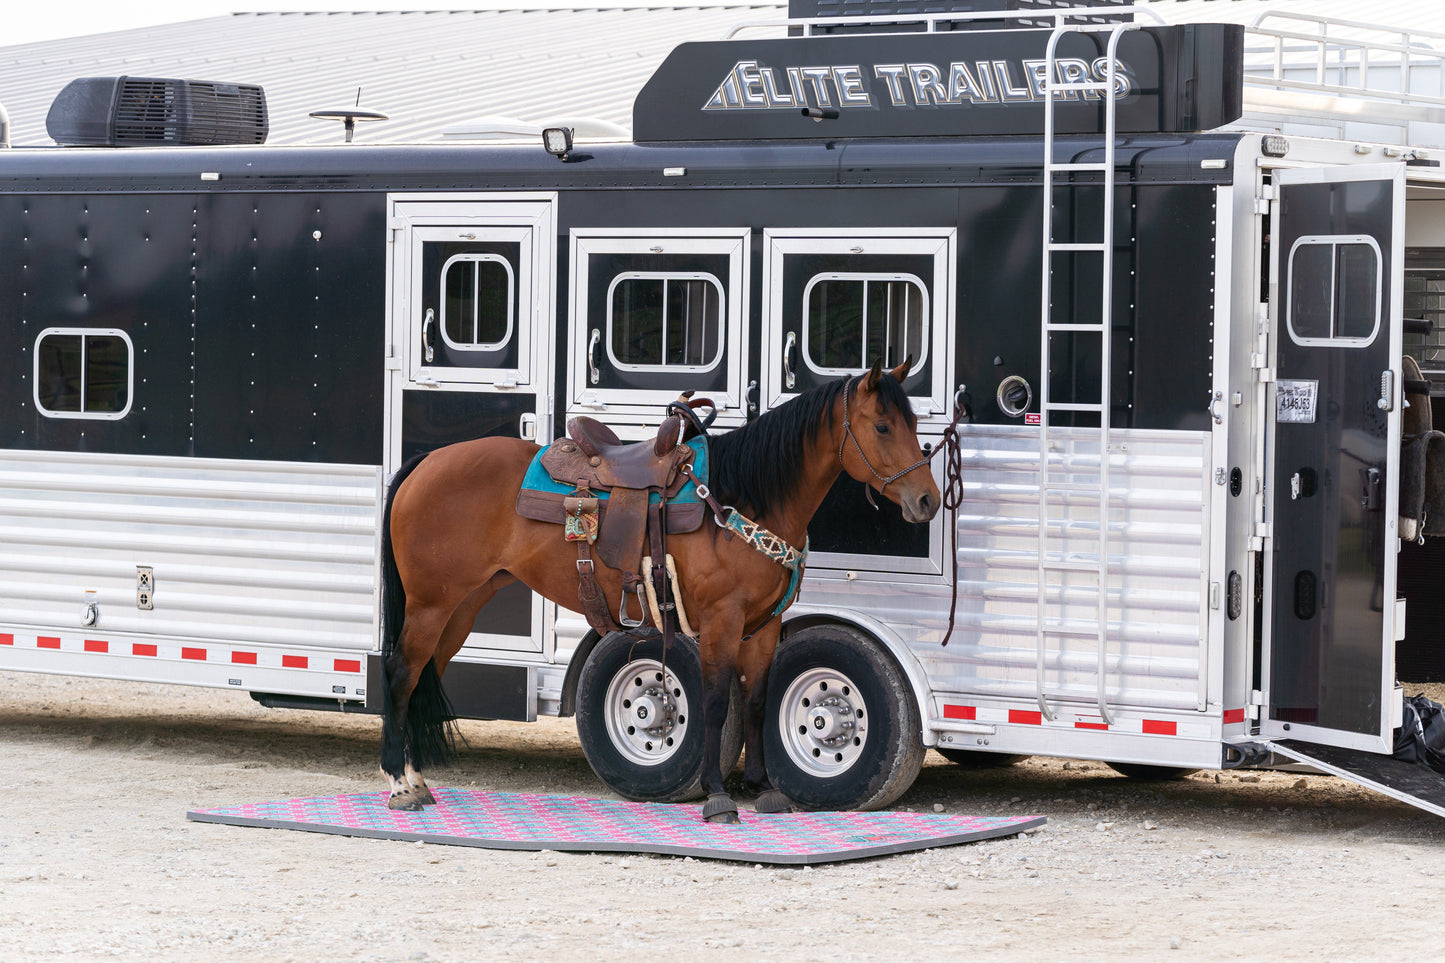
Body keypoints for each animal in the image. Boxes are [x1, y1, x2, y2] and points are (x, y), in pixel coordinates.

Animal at [378, 355, 942, 821]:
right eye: (883, 425)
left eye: (914, 424)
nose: (928, 501)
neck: (743, 500)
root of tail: (426, 463)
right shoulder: (719, 621)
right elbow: (714, 704)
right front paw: (717, 796)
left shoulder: (764, 626)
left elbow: (758, 702)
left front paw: (764, 789)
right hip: (431, 604)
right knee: (402, 673)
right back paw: (399, 783)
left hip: (463, 605)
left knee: (426, 673)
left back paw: (419, 780)